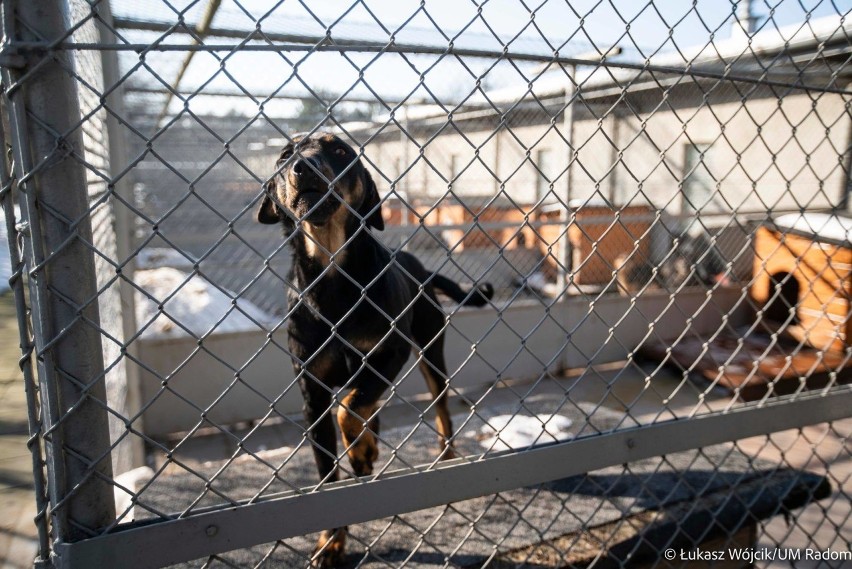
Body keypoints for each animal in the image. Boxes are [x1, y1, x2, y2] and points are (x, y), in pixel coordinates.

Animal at [253, 132, 492, 564]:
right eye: (284, 155)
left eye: (340, 150)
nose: (304, 167)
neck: (332, 277)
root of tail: (422, 269)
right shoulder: (312, 396)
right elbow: (329, 470)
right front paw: (330, 542)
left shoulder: (388, 355)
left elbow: (349, 408)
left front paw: (361, 451)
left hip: (430, 354)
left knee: (440, 409)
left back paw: (443, 457)